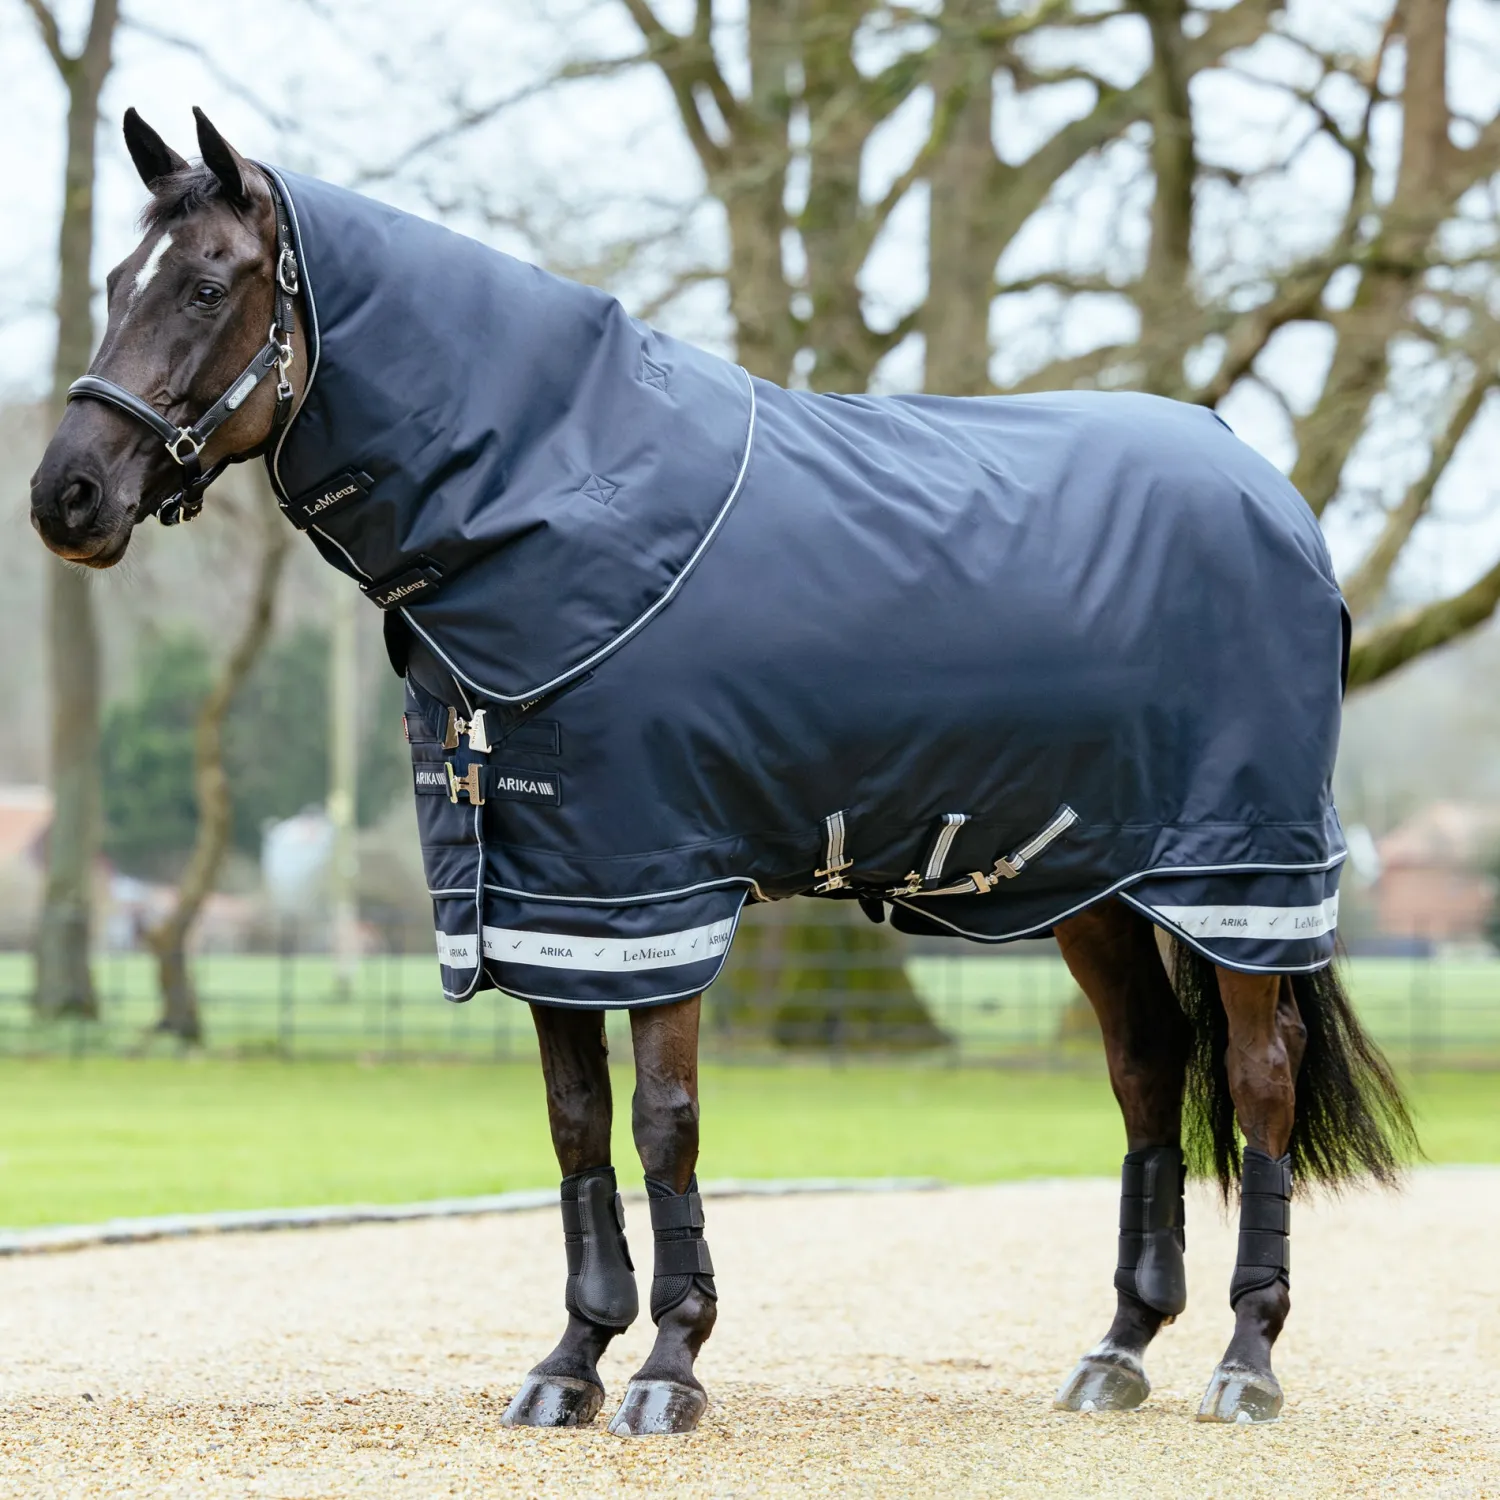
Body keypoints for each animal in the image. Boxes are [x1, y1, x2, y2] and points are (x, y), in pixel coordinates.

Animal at [30, 107, 1414, 1437]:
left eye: (208, 285)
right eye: (112, 280)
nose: (66, 496)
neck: (557, 495)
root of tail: (1270, 491)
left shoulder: (653, 895)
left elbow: (663, 1123)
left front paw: (668, 1368)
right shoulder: (549, 901)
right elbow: (576, 1126)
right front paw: (570, 1365)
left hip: (1241, 873)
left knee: (1259, 1079)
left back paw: (1245, 1363)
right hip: (1095, 887)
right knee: (1145, 1074)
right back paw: (1118, 1351)